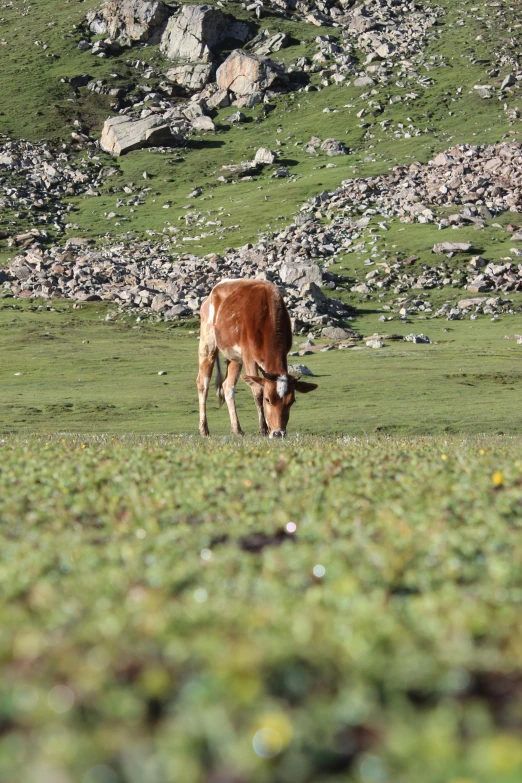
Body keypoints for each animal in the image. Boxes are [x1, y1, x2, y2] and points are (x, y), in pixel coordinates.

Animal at [196, 280, 314, 440]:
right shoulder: (249, 358)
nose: (278, 433)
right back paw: (204, 430)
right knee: (203, 384)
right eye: (267, 399)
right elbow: (257, 391)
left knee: (228, 386)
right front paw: (263, 429)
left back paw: (237, 429)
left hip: (235, 358)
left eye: (291, 401)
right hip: (208, 343)